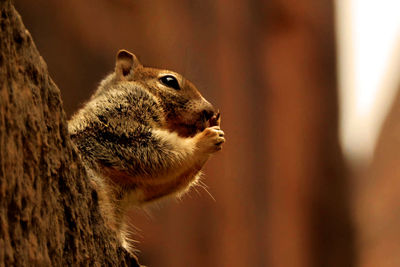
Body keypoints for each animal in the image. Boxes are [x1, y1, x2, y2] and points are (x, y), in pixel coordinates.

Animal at [69, 49, 225, 253]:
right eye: (169, 81)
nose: (209, 110)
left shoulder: (137, 187)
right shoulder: (119, 125)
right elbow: (157, 152)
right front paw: (204, 140)